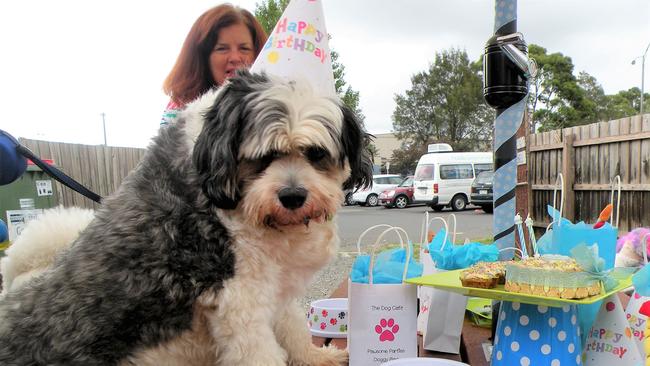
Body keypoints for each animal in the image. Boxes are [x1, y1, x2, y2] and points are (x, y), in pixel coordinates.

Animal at [0, 71, 370, 366]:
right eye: (262, 158)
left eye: (316, 154)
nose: (293, 196)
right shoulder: (239, 301)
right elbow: (260, 351)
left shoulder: (274, 285)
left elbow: (292, 326)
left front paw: (317, 356)